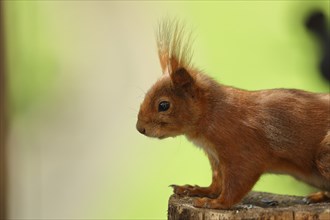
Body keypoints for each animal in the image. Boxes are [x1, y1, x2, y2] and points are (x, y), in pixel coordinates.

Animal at [135, 19, 328, 209]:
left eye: (164, 105)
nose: (140, 129)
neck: (212, 113)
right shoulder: (215, 157)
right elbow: (217, 181)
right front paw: (198, 190)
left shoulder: (242, 149)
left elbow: (236, 183)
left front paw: (215, 203)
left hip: (323, 156)